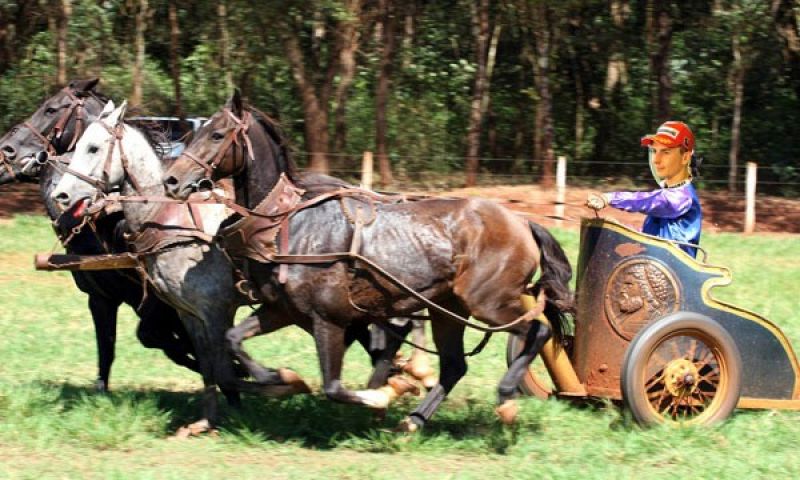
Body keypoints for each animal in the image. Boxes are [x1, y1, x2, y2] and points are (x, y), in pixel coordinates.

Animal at [48, 100, 424, 432]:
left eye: (93, 148)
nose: (61, 196)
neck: (170, 223)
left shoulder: (216, 309)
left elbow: (223, 368)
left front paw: (281, 384)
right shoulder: (189, 314)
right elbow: (208, 368)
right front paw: (208, 421)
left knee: (392, 330)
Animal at [162, 91, 576, 432]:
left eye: (217, 135)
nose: (172, 180)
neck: (288, 223)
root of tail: (522, 221)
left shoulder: (329, 319)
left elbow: (333, 386)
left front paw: (382, 393)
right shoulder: (282, 310)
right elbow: (233, 341)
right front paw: (282, 380)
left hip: (489, 303)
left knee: (536, 331)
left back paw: (505, 397)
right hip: (448, 310)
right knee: (455, 365)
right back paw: (413, 422)